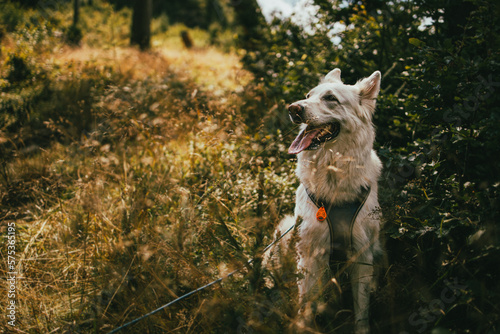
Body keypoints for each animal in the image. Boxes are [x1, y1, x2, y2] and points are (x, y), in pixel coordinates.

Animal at [278, 68, 382, 334]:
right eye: (308, 95)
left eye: (331, 98)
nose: (293, 108)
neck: (333, 175)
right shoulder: (310, 254)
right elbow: (306, 304)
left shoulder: (362, 255)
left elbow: (362, 309)